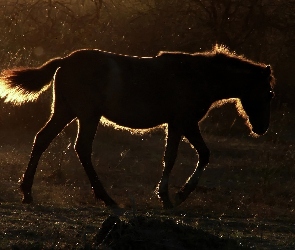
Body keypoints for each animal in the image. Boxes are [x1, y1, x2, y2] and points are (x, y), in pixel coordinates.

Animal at [0, 45, 276, 209]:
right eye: (269, 93)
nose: (261, 128)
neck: (198, 76)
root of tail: (66, 60)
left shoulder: (178, 124)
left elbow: (185, 155)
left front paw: (170, 195)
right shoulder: (184, 122)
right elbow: (187, 155)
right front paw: (174, 196)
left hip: (66, 112)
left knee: (42, 139)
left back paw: (27, 192)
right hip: (87, 116)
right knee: (82, 149)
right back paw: (107, 198)